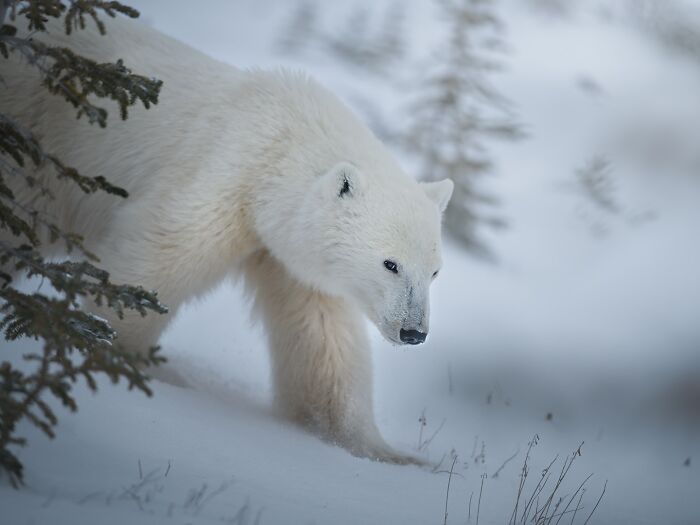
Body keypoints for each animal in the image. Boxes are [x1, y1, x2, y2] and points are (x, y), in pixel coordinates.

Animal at [1, 16, 453, 463]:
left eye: (434, 272)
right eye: (390, 264)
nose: (414, 332)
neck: (284, 146)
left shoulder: (293, 253)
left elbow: (323, 339)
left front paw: (390, 454)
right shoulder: (225, 176)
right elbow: (157, 259)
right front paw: (113, 354)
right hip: (39, 135)